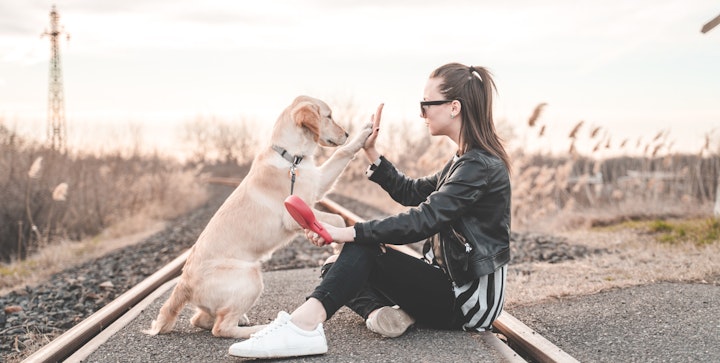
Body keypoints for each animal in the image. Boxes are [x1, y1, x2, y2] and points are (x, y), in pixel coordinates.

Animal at [144, 96, 374, 338]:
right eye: (329, 116)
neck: (291, 158)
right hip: (251, 276)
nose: (347, 133)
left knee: (199, 319)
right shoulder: (294, 214)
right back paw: (261, 328)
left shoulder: (318, 184)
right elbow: (338, 219)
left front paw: (363, 134)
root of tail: (183, 283)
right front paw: (338, 247)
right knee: (221, 328)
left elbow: (342, 153)